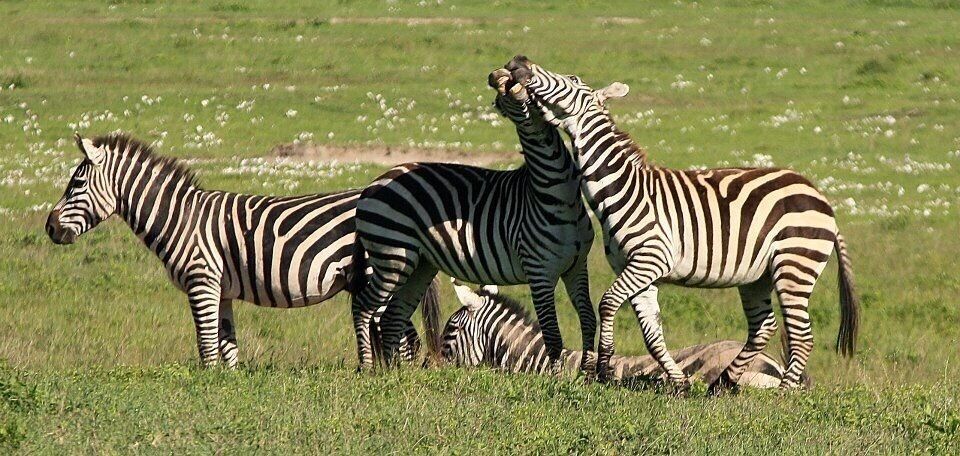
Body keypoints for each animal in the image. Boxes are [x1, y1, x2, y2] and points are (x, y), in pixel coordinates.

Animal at [45, 133, 438, 367]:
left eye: (77, 183)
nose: (49, 228)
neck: (180, 219)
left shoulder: (201, 282)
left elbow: (206, 344)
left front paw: (205, 387)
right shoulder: (221, 291)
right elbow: (227, 344)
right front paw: (229, 386)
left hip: (378, 273)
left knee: (402, 333)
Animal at [349, 76, 606, 371]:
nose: (522, 79)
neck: (559, 198)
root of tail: (373, 184)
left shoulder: (576, 266)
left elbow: (587, 319)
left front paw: (586, 372)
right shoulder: (539, 272)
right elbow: (551, 332)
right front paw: (554, 375)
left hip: (419, 264)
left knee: (393, 315)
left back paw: (396, 372)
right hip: (392, 255)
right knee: (364, 307)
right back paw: (368, 367)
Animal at [500, 56, 859, 393]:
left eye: (572, 79)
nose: (518, 63)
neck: (623, 189)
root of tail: (820, 197)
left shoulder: (651, 259)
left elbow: (608, 302)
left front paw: (604, 368)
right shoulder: (637, 270)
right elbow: (652, 334)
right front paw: (679, 383)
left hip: (795, 264)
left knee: (801, 336)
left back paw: (783, 393)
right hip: (757, 276)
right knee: (763, 327)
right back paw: (722, 384)